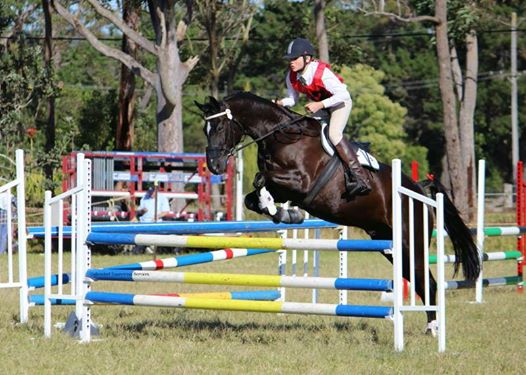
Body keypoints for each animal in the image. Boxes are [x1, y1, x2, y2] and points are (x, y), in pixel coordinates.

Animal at [196, 92, 480, 334]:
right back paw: (431, 326)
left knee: (428, 282)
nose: (214, 165)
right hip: (388, 243)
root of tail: (419, 188)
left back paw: (433, 328)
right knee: (419, 280)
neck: (284, 136)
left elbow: (261, 179)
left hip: (412, 242)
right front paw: (284, 214)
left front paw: (281, 209)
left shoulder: (301, 182)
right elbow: (252, 197)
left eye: (219, 127)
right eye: (204, 130)